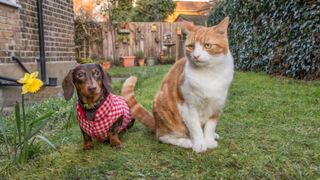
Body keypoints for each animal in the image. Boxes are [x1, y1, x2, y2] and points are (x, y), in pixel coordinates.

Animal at [121, 16, 234, 153]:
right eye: (191, 46)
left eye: (207, 45)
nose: (196, 56)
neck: (209, 74)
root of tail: (156, 123)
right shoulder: (188, 106)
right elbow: (195, 128)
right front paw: (200, 144)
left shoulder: (217, 106)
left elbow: (210, 126)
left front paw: (209, 140)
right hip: (164, 110)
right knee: (163, 136)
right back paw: (186, 141)